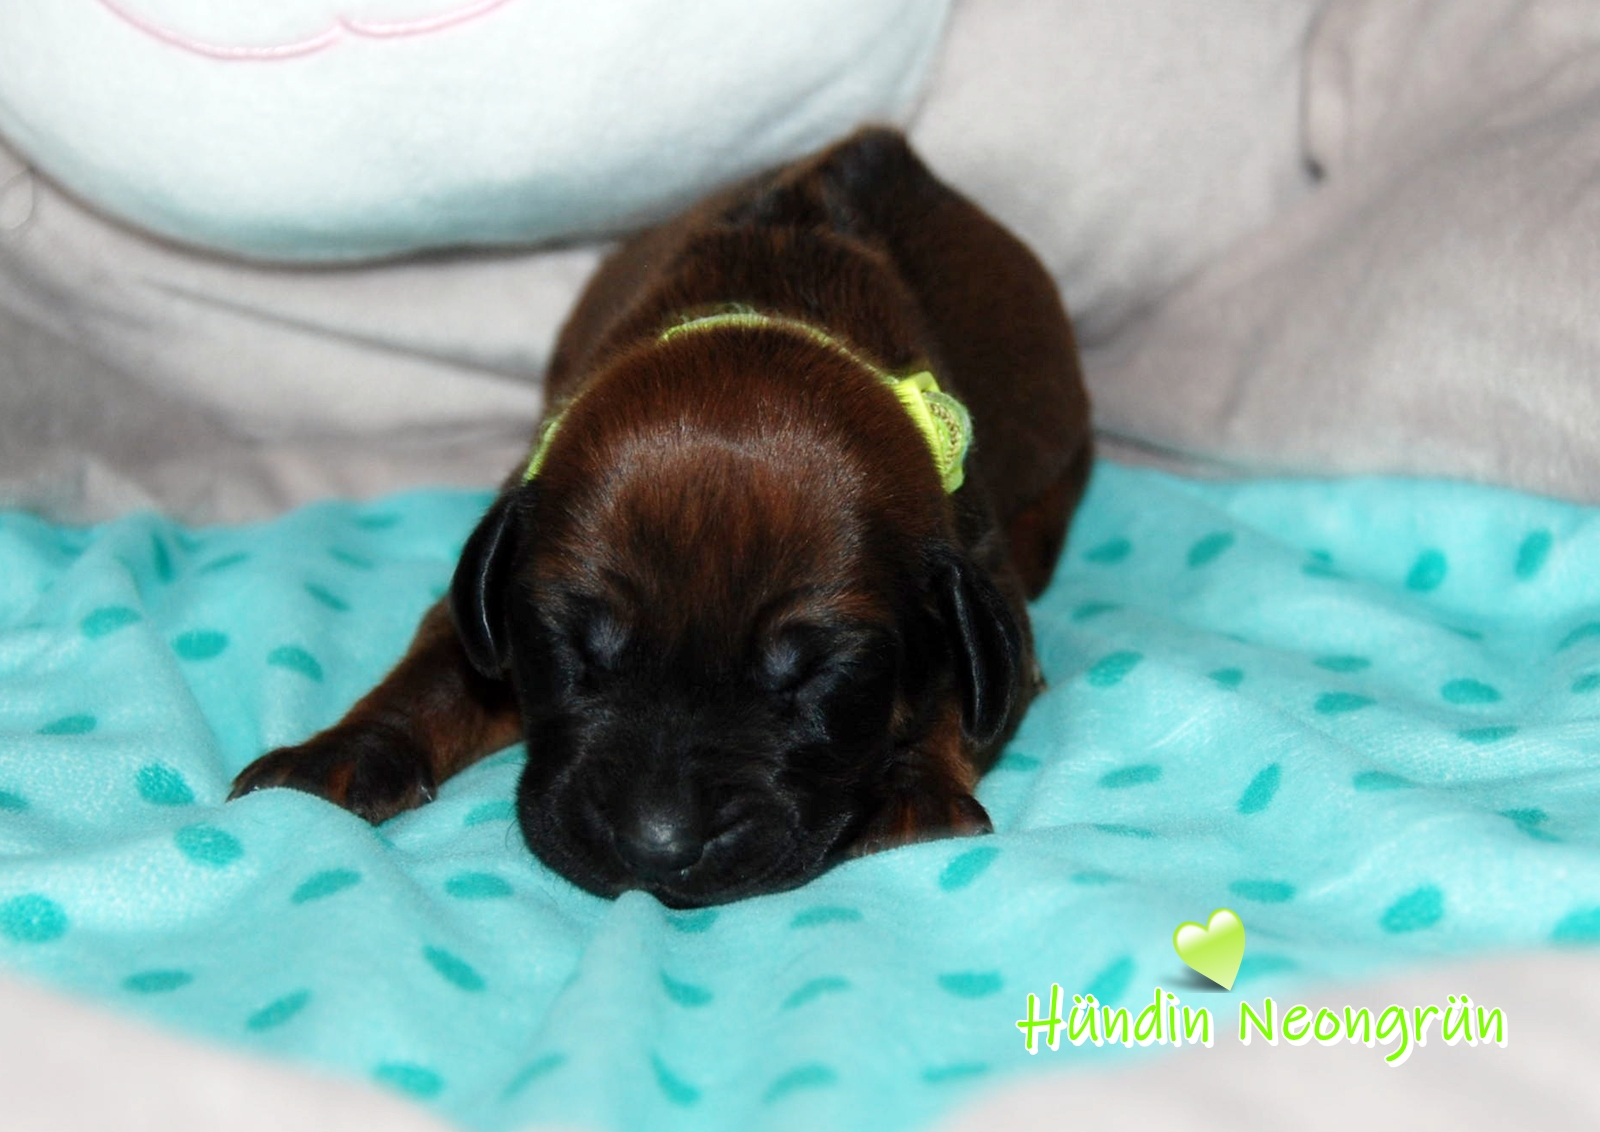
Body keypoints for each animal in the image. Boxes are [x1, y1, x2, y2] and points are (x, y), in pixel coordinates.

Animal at [230, 129, 1091, 907]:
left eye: (820, 676)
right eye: (571, 647)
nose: (655, 851)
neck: (769, 309)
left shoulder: (976, 571)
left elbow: (961, 696)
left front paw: (913, 791)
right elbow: (438, 671)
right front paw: (339, 753)